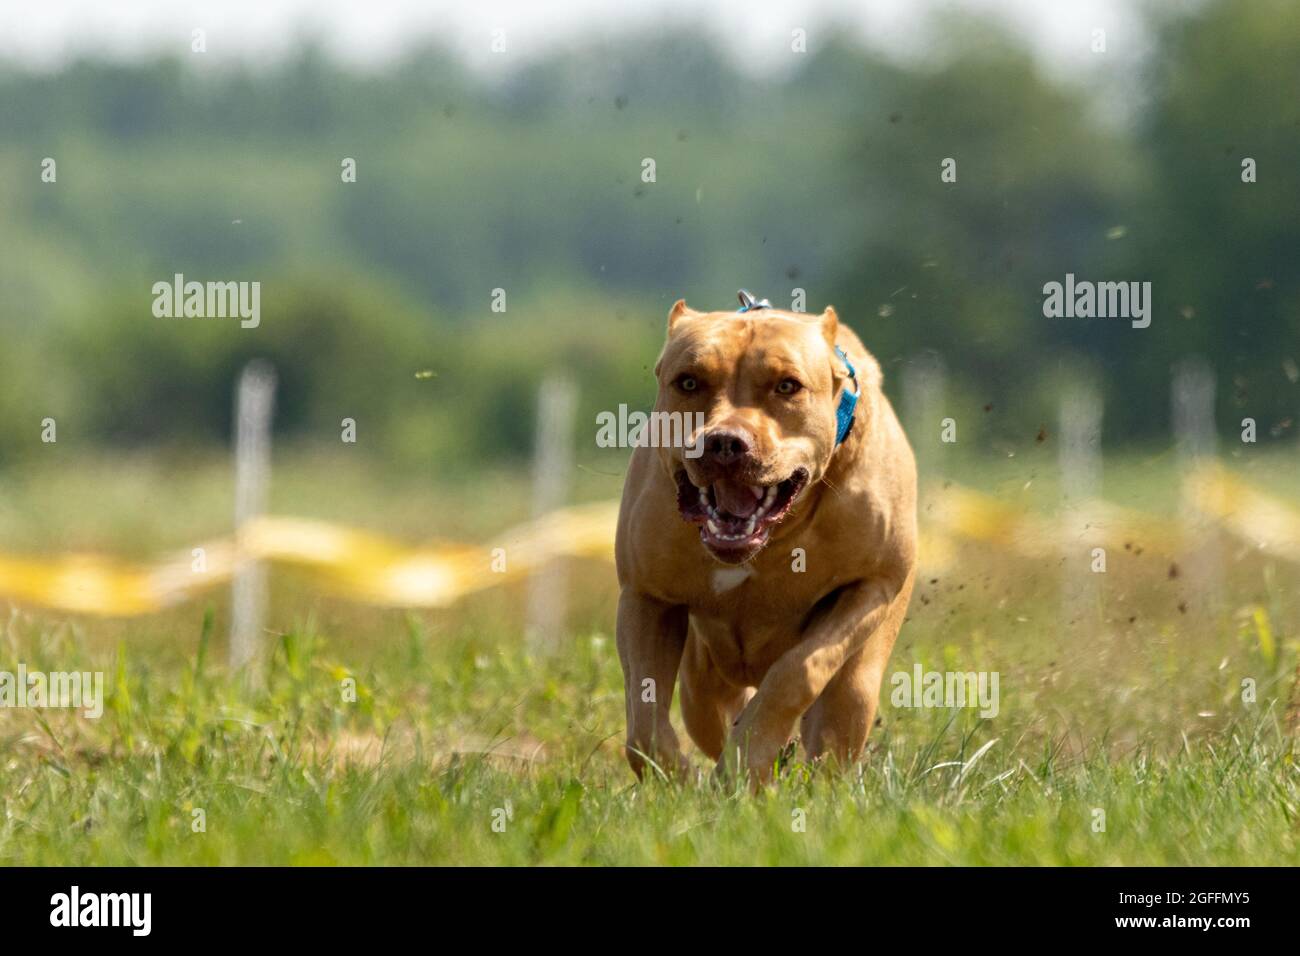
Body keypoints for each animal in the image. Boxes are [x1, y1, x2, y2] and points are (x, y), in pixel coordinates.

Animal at [616, 295, 915, 780]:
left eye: (787, 386)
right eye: (688, 381)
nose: (724, 443)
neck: (772, 539)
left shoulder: (870, 587)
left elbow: (798, 672)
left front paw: (747, 763)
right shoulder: (646, 596)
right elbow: (643, 717)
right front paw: (675, 782)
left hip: (861, 677)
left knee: (843, 704)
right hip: (704, 682)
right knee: (708, 710)